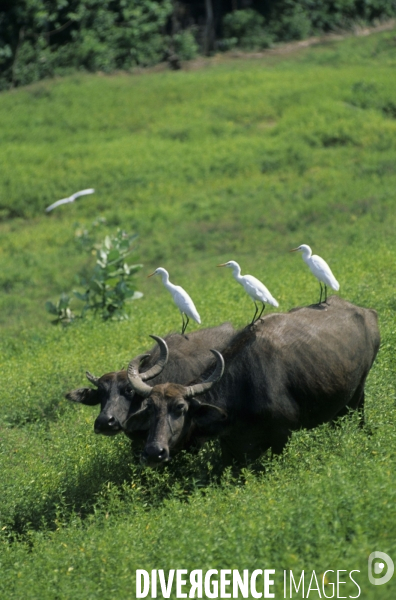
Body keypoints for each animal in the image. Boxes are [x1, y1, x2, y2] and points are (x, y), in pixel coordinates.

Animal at [127, 298, 380, 466]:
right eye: (150, 409)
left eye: (180, 408)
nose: (154, 452)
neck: (242, 389)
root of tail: (367, 312)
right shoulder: (231, 446)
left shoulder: (282, 435)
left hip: (358, 394)